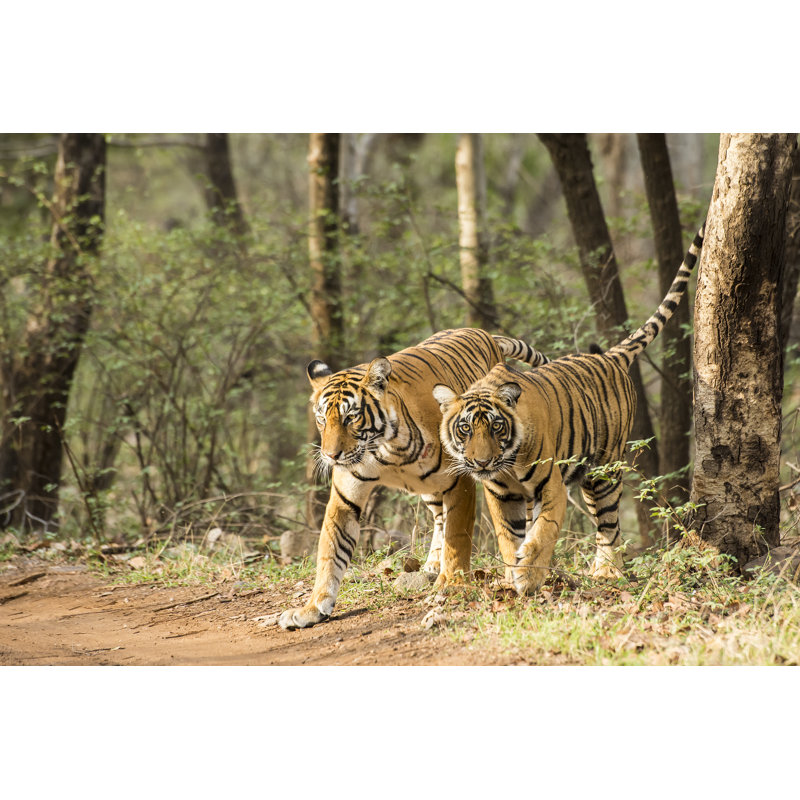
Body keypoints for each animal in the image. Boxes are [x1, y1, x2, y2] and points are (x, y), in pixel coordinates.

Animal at [278, 327, 550, 630]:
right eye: (322, 419)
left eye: (351, 417)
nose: (330, 455)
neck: (386, 449)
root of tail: (484, 333)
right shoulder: (345, 498)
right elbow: (330, 553)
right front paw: (313, 608)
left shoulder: (460, 481)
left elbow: (458, 535)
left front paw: (453, 585)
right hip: (429, 489)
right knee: (439, 518)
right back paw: (433, 564)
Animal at [432, 225, 705, 596]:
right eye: (465, 429)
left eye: (496, 427)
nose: (482, 462)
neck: (506, 465)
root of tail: (609, 356)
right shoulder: (501, 495)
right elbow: (508, 538)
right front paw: (513, 572)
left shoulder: (551, 486)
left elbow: (544, 530)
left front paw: (528, 575)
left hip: (603, 472)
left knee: (608, 525)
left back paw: (607, 572)